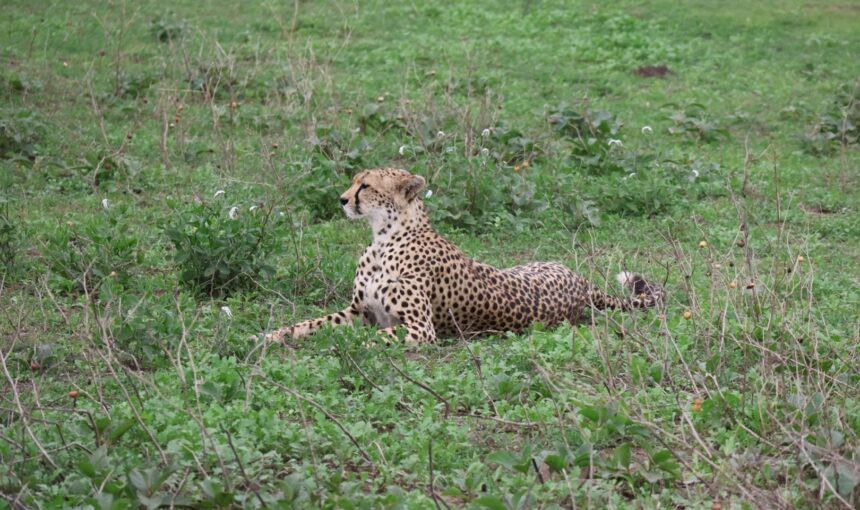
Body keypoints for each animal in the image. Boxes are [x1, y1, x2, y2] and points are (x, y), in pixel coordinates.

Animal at [265, 168, 664, 345]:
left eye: (366, 185)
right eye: (353, 181)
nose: (342, 200)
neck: (383, 239)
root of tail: (582, 284)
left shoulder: (419, 329)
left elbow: (368, 338)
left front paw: (339, 345)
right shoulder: (358, 311)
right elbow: (312, 323)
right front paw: (275, 334)